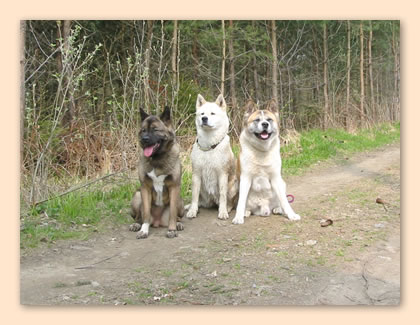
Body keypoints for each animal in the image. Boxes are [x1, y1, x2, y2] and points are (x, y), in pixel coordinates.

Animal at [130, 106, 184, 238]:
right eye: (143, 130)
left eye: (155, 130)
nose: (144, 139)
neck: (157, 159)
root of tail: (157, 221)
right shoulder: (145, 188)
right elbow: (145, 213)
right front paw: (144, 230)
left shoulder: (174, 187)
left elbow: (173, 213)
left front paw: (172, 229)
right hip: (137, 195)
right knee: (139, 216)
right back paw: (137, 224)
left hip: (180, 200)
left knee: (178, 216)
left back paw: (178, 224)